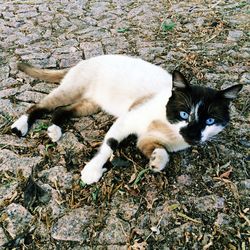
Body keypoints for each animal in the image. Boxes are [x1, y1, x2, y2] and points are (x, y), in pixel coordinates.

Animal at [10, 54, 243, 184]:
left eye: (210, 121)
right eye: (184, 114)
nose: (193, 135)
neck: (167, 126)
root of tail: (85, 60)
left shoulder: (148, 140)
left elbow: (162, 151)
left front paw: (156, 161)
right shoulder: (126, 121)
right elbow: (109, 146)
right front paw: (92, 172)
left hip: (89, 105)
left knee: (61, 111)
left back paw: (54, 131)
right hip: (71, 91)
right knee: (39, 106)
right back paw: (19, 127)